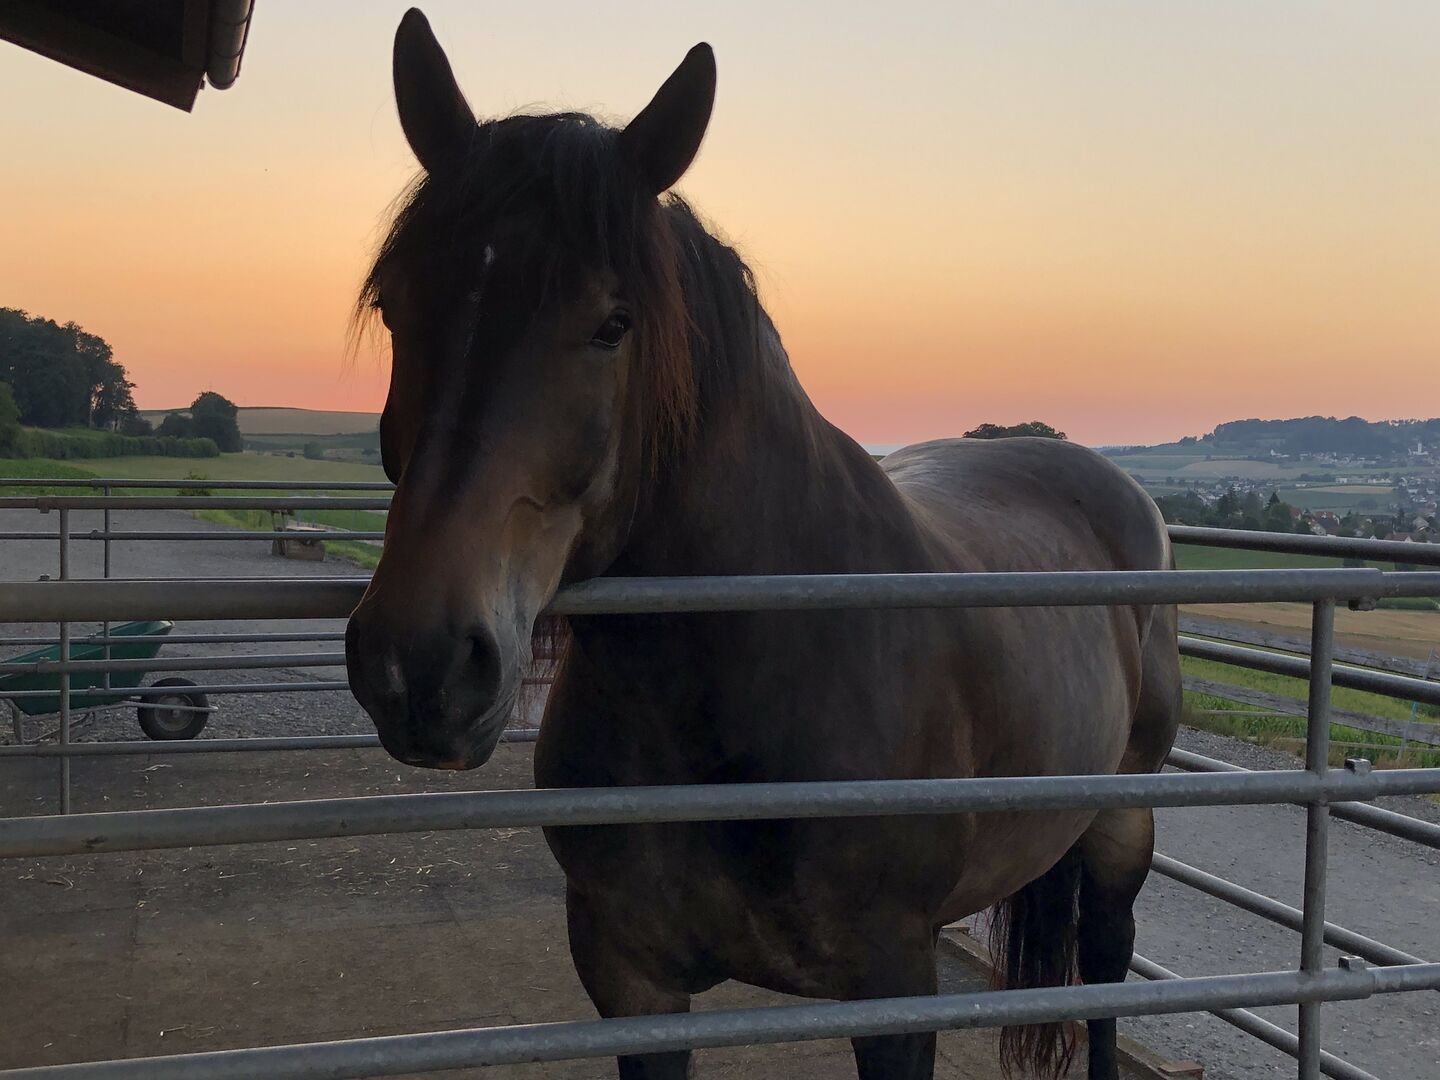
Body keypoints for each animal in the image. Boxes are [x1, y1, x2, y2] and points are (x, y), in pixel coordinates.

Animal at [345, 10, 1182, 1079]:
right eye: (396, 307)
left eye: (614, 324)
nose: (421, 664)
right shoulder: (630, 982)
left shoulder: (896, 989)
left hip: (1122, 821)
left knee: (1107, 966)